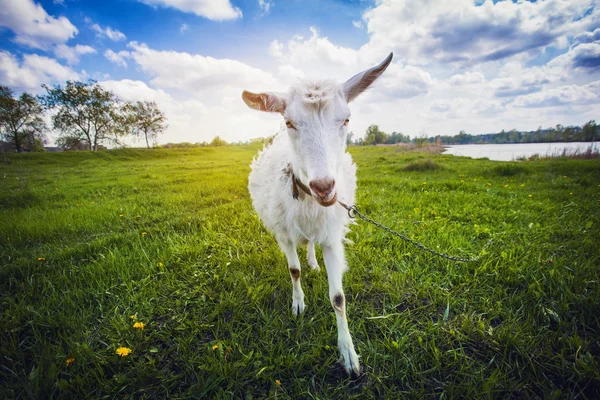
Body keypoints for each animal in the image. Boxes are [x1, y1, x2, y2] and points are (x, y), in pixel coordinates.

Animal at [243, 52, 394, 376]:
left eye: (346, 119)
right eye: (288, 122)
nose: (323, 186)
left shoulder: (332, 237)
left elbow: (338, 298)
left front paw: (349, 354)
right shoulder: (284, 234)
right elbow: (293, 271)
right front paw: (298, 305)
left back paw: (314, 261)